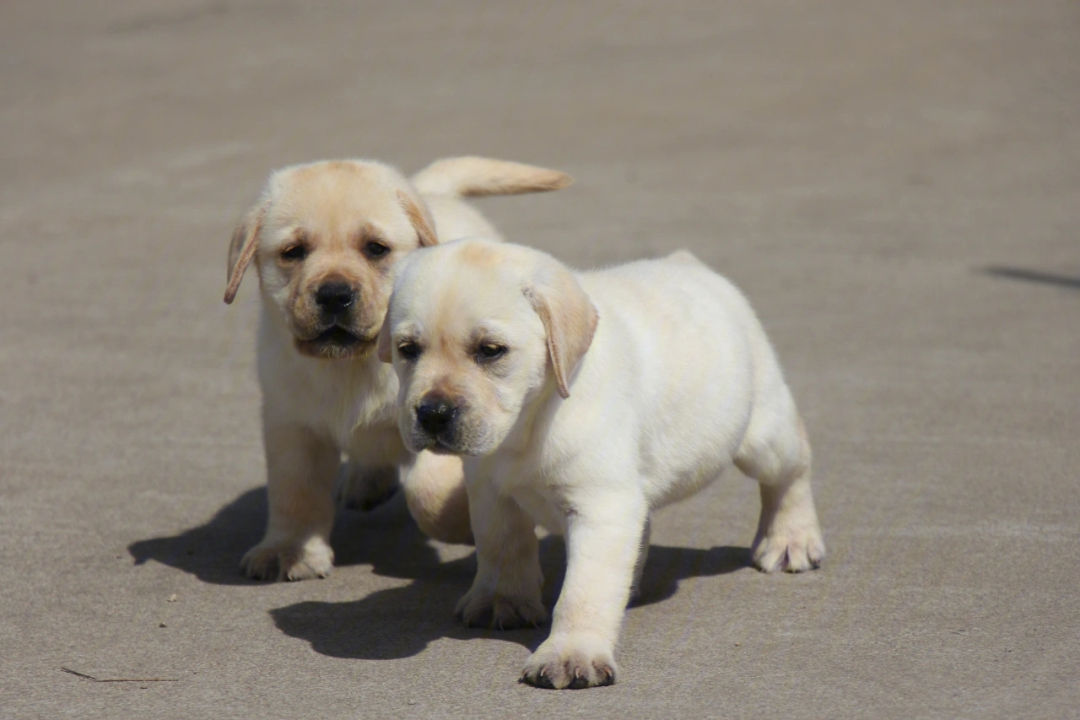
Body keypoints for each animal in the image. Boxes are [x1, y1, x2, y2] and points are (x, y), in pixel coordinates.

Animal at [225, 156, 574, 578]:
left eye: (376, 249)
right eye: (294, 252)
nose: (334, 294)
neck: (352, 366)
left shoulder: (439, 416)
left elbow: (427, 489)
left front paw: (462, 523)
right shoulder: (291, 423)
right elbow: (294, 490)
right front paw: (288, 549)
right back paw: (365, 480)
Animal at [380, 239, 825, 690]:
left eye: (490, 351)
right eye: (407, 350)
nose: (433, 413)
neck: (530, 419)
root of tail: (687, 263)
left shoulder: (600, 507)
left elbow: (584, 590)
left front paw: (570, 653)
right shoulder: (490, 491)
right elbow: (502, 546)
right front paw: (501, 600)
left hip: (762, 433)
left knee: (791, 472)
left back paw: (792, 541)